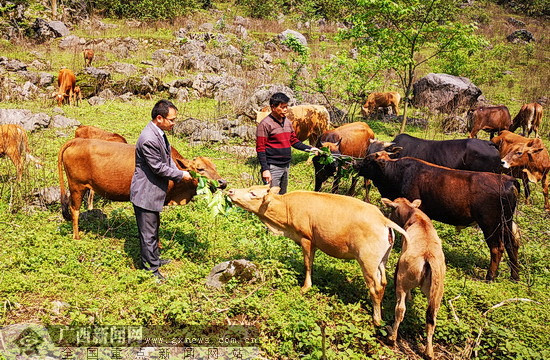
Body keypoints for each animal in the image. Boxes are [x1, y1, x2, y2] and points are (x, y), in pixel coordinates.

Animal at [57, 139, 226, 240]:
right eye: (200, 169)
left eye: (215, 166)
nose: (222, 182)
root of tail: (77, 141)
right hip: (76, 186)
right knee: (74, 210)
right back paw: (77, 237)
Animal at [227, 186, 410, 326]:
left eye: (253, 193)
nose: (230, 190)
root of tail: (383, 220)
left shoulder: (306, 238)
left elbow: (308, 263)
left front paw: (305, 287)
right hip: (382, 260)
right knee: (383, 282)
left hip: (368, 260)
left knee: (376, 287)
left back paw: (376, 319)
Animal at [358, 152, 520, 282]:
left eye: (368, 160)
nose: (355, 163)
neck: (397, 172)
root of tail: (508, 180)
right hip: (506, 223)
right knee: (512, 244)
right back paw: (515, 276)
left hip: (490, 224)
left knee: (497, 248)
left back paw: (490, 276)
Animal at [384, 197, 448, 360]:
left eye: (392, 209)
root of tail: (428, 256)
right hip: (437, 291)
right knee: (431, 318)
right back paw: (429, 352)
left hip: (402, 280)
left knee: (400, 309)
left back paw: (391, 337)